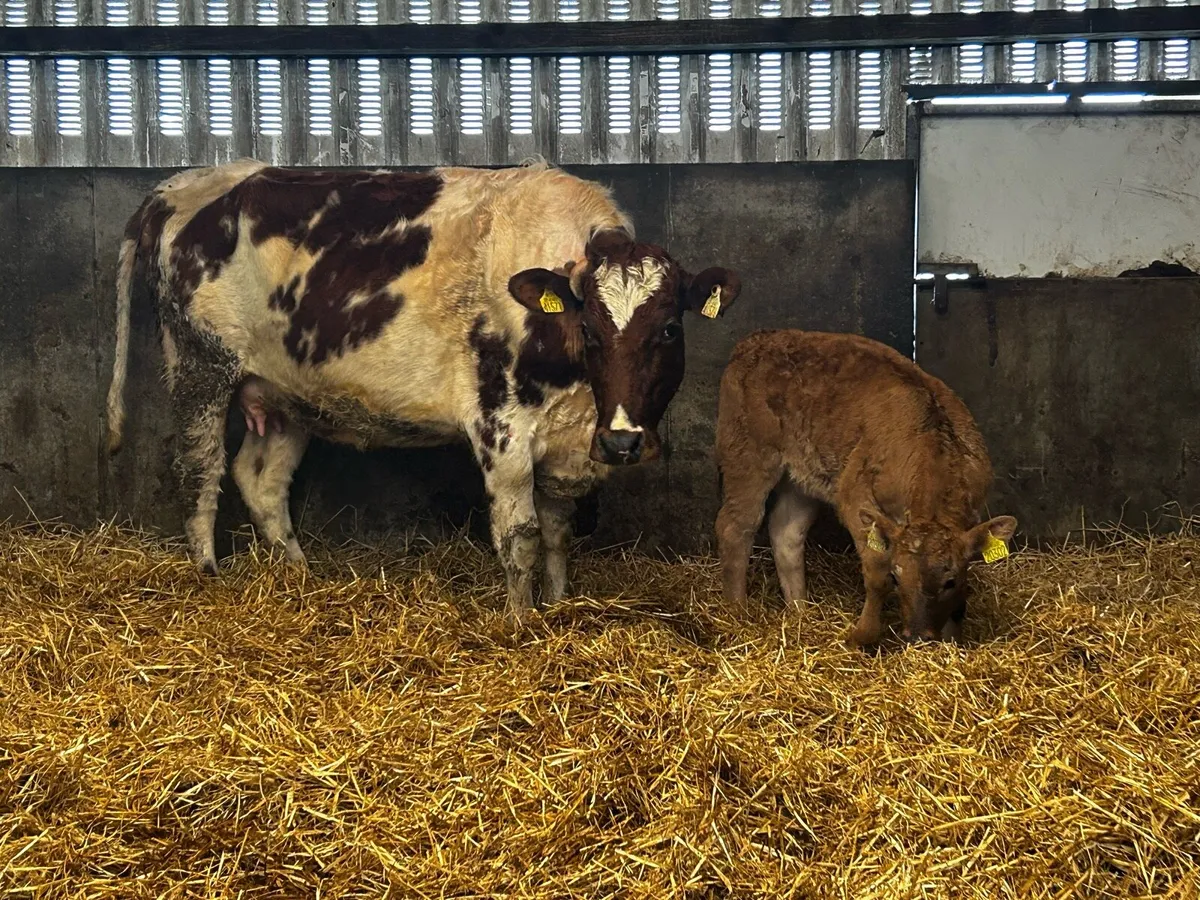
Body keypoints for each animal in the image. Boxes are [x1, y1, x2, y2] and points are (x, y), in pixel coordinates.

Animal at [105, 159, 743, 625]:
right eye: (588, 329)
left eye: (669, 329)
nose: (623, 444)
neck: (582, 398)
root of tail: (183, 184)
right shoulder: (500, 427)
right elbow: (521, 536)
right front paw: (522, 624)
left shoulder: (570, 441)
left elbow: (559, 531)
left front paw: (558, 604)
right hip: (201, 366)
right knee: (199, 473)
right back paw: (208, 574)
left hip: (288, 393)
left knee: (260, 480)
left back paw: (299, 575)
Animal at [714, 330, 1016, 647]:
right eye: (897, 577)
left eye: (950, 581)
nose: (916, 635)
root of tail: (757, 339)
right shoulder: (854, 495)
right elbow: (876, 568)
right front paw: (862, 636)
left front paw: (952, 639)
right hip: (748, 455)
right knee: (736, 527)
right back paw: (737, 612)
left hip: (803, 477)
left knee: (786, 531)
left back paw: (800, 611)